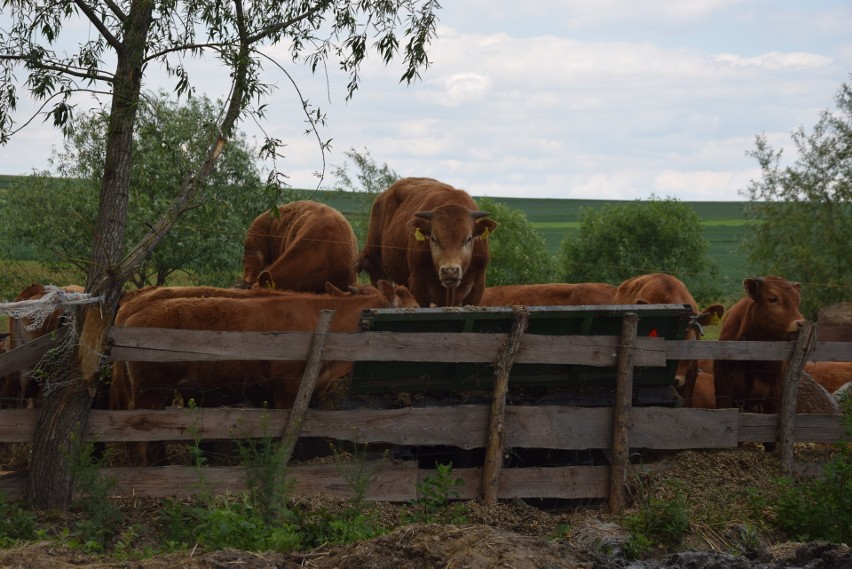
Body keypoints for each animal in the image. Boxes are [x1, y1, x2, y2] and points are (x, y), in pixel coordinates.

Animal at [354, 180, 500, 308]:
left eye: (469, 239)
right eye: (434, 238)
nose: (450, 271)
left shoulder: (477, 286)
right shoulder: (418, 284)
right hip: (376, 268)